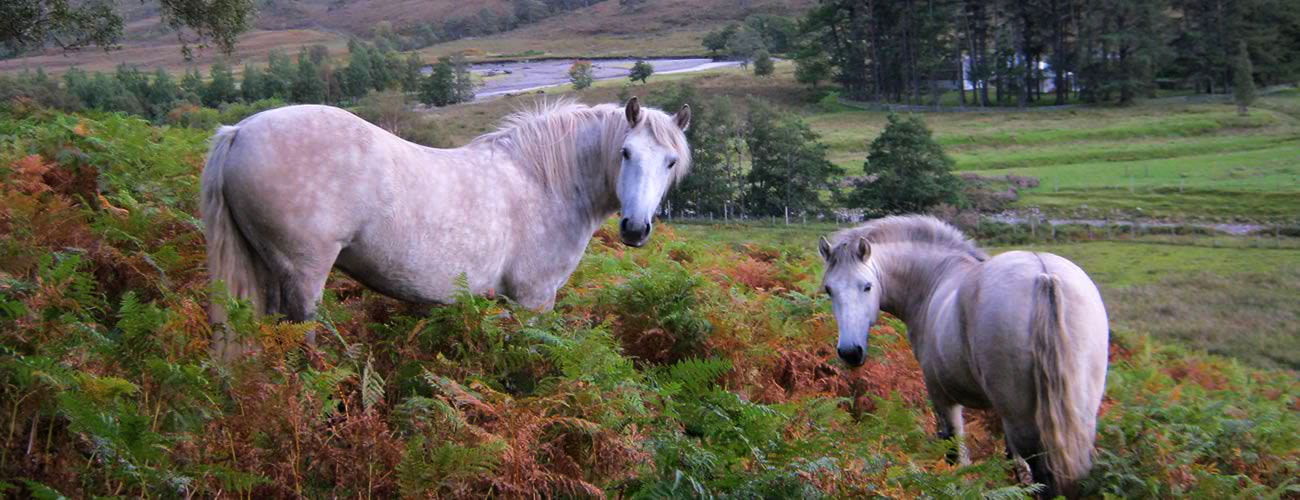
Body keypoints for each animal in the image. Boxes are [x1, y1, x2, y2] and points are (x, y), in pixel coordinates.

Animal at [202, 97, 691, 358]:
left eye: (670, 162)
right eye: (626, 153)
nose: (635, 229)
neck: (544, 181)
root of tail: (239, 131)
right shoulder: (533, 300)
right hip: (302, 278)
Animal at [817, 215, 1108, 498]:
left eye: (867, 286)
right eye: (829, 290)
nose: (850, 352)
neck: (935, 279)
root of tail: (1043, 275)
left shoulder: (943, 398)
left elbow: (956, 455)